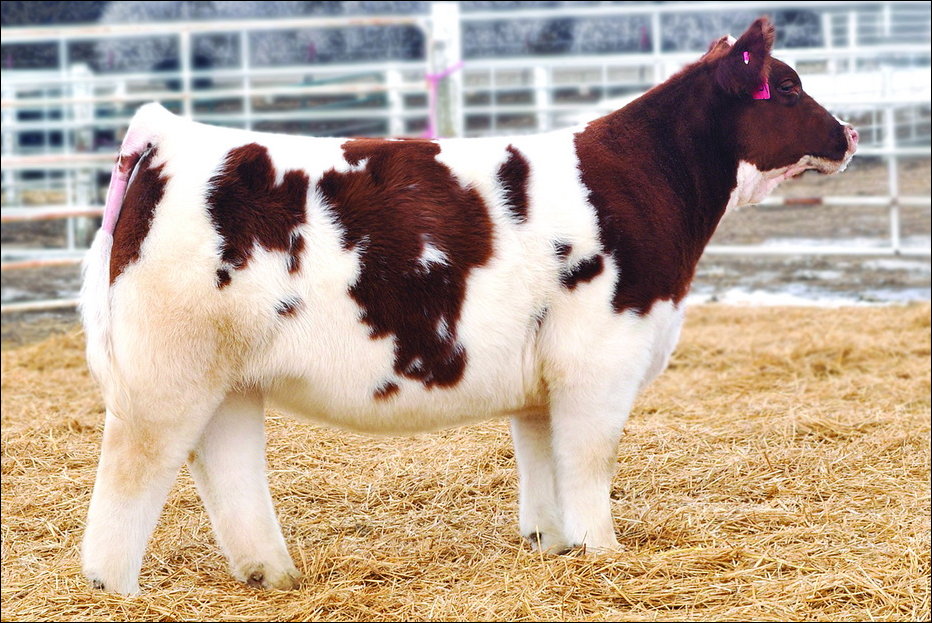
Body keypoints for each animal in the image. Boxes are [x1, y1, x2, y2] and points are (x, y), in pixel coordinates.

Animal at [79, 18, 858, 594]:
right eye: (789, 87)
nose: (849, 132)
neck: (648, 182)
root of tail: (165, 133)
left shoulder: (544, 378)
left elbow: (543, 462)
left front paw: (555, 543)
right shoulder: (599, 358)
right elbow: (589, 458)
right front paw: (604, 552)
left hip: (226, 376)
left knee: (225, 464)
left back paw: (272, 574)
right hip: (165, 372)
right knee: (131, 475)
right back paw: (114, 589)